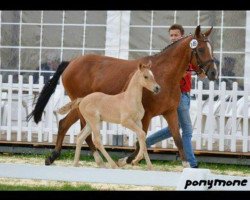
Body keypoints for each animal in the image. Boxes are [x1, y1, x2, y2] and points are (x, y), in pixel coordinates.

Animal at [26, 25, 218, 167]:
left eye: (212, 48)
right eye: (201, 49)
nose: (213, 73)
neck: (164, 75)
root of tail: (71, 62)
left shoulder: (170, 113)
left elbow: (177, 138)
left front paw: (187, 164)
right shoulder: (146, 115)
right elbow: (141, 139)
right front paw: (126, 160)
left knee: (74, 127)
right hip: (79, 104)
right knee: (72, 127)